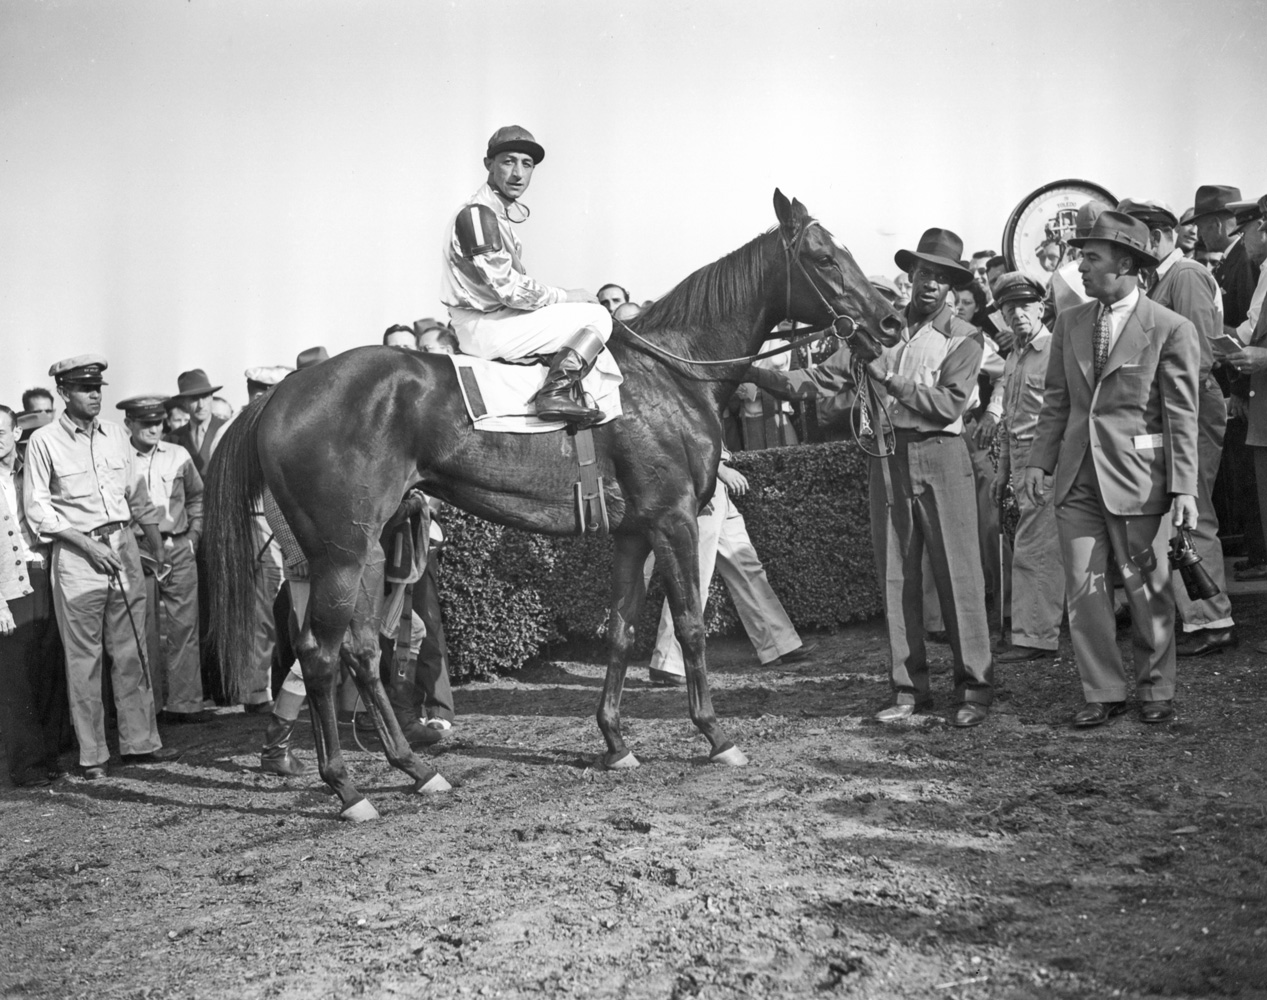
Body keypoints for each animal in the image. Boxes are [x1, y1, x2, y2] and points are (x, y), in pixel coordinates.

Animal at [205, 187, 902, 821]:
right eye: (824, 257)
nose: (890, 322)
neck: (671, 375)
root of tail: (281, 394)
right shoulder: (674, 517)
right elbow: (690, 625)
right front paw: (716, 736)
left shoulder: (633, 529)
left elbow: (620, 630)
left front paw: (616, 742)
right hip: (341, 549)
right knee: (320, 656)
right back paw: (347, 790)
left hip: (373, 547)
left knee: (360, 652)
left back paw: (415, 769)